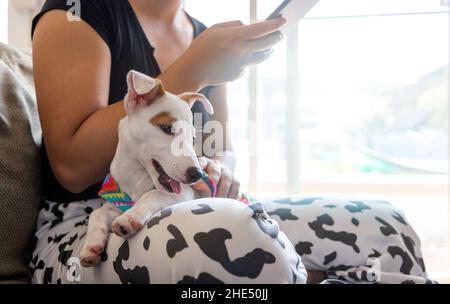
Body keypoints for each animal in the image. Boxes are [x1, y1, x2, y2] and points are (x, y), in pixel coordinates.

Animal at [80, 70, 214, 266]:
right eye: (166, 128)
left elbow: (153, 194)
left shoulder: (185, 193)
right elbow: (96, 214)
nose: (197, 174)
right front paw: (91, 246)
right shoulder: (117, 203)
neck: (135, 175)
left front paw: (129, 218)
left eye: (193, 138)